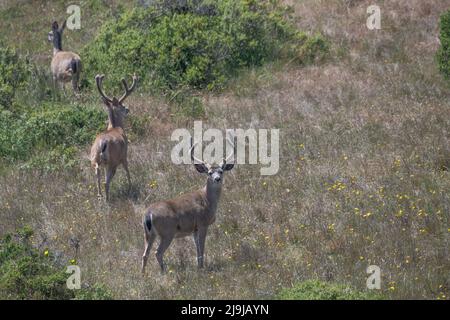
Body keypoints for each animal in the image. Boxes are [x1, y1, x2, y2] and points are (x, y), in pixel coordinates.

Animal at [142, 136, 236, 274]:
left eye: (221, 171)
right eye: (209, 172)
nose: (217, 179)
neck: (207, 199)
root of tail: (148, 214)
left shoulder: (194, 229)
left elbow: (197, 249)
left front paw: (198, 266)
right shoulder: (202, 224)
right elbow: (201, 248)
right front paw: (201, 268)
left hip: (149, 234)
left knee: (145, 254)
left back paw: (143, 274)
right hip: (167, 232)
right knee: (157, 253)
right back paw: (164, 272)